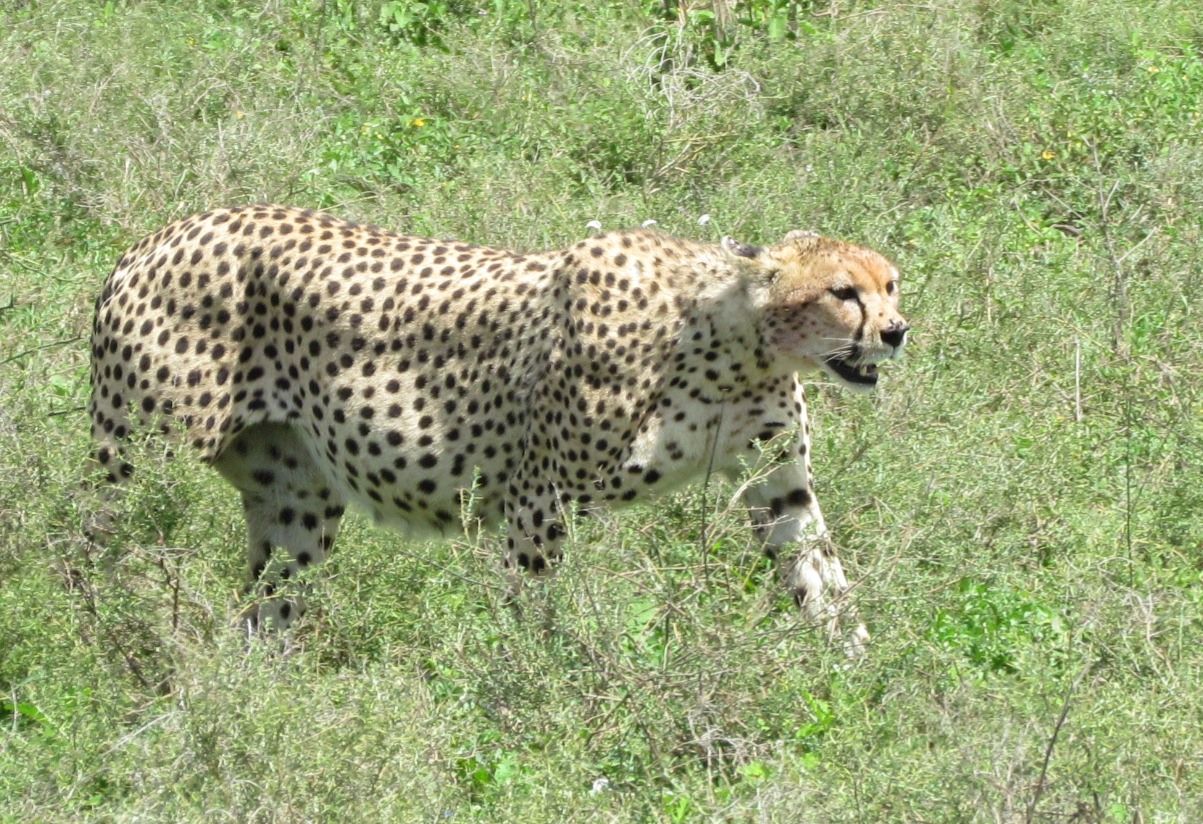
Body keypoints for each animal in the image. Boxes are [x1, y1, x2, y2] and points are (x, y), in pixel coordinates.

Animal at [89, 205, 909, 650]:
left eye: (890, 284)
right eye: (842, 293)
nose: (896, 331)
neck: (737, 342)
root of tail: (163, 232)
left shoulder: (780, 486)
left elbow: (822, 578)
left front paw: (862, 686)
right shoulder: (539, 498)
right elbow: (531, 606)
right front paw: (532, 683)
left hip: (295, 499)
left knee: (266, 605)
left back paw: (261, 695)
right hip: (143, 455)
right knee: (103, 549)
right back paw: (110, 642)